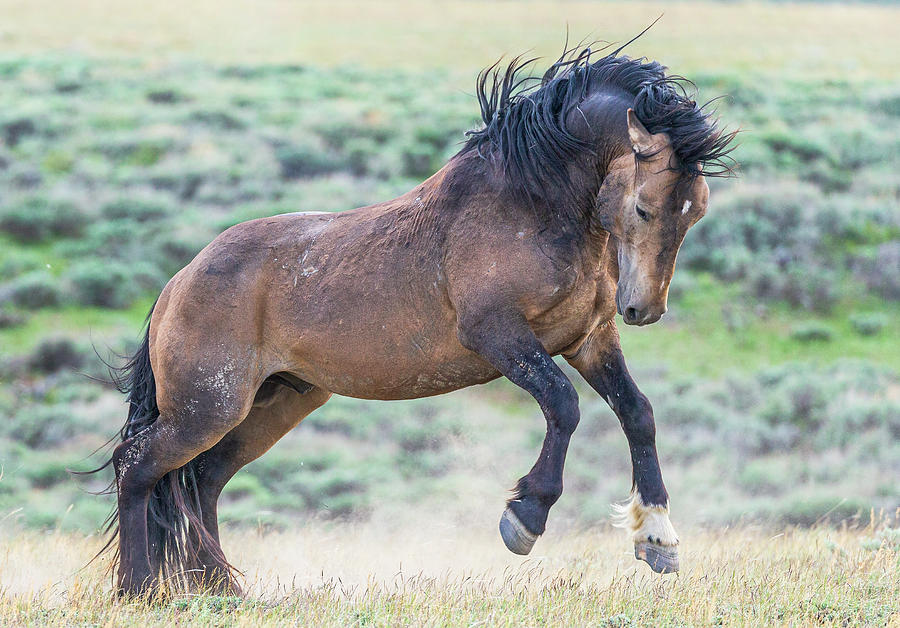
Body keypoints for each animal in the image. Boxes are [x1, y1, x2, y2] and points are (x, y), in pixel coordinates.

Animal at [88, 43, 736, 592]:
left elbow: (638, 413)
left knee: (202, 480)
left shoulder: (588, 339)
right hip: (207, 407)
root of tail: (177, 284)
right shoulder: (499, 335)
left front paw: (658, 540)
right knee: (138, 468)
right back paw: (138, 590)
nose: (642, 309)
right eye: (644, 207)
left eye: (696, 211)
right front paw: (524, 517)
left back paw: (220, 589)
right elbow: (563, 404)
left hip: (270, 405)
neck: (528, 207)